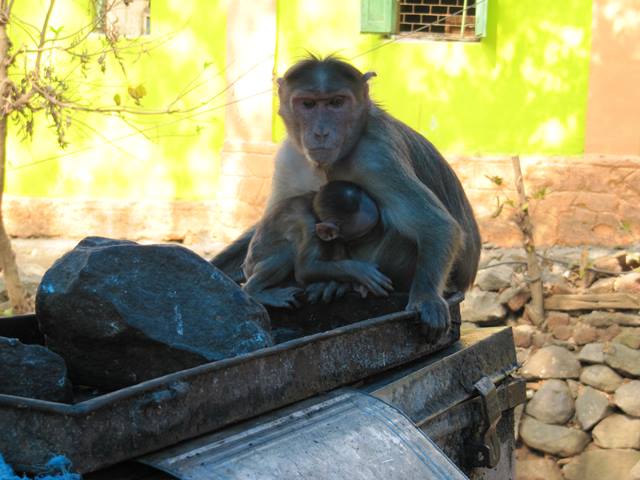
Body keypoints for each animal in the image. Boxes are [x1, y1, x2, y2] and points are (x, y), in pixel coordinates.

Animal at [242, 180, 392, 308]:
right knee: (287, 252)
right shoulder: (307, 225)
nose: (378, 231)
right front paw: (360, 271)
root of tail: (246, 270)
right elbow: (305, 269)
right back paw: (253, 291)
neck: (312, 208)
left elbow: (337, 244)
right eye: (364, 234)